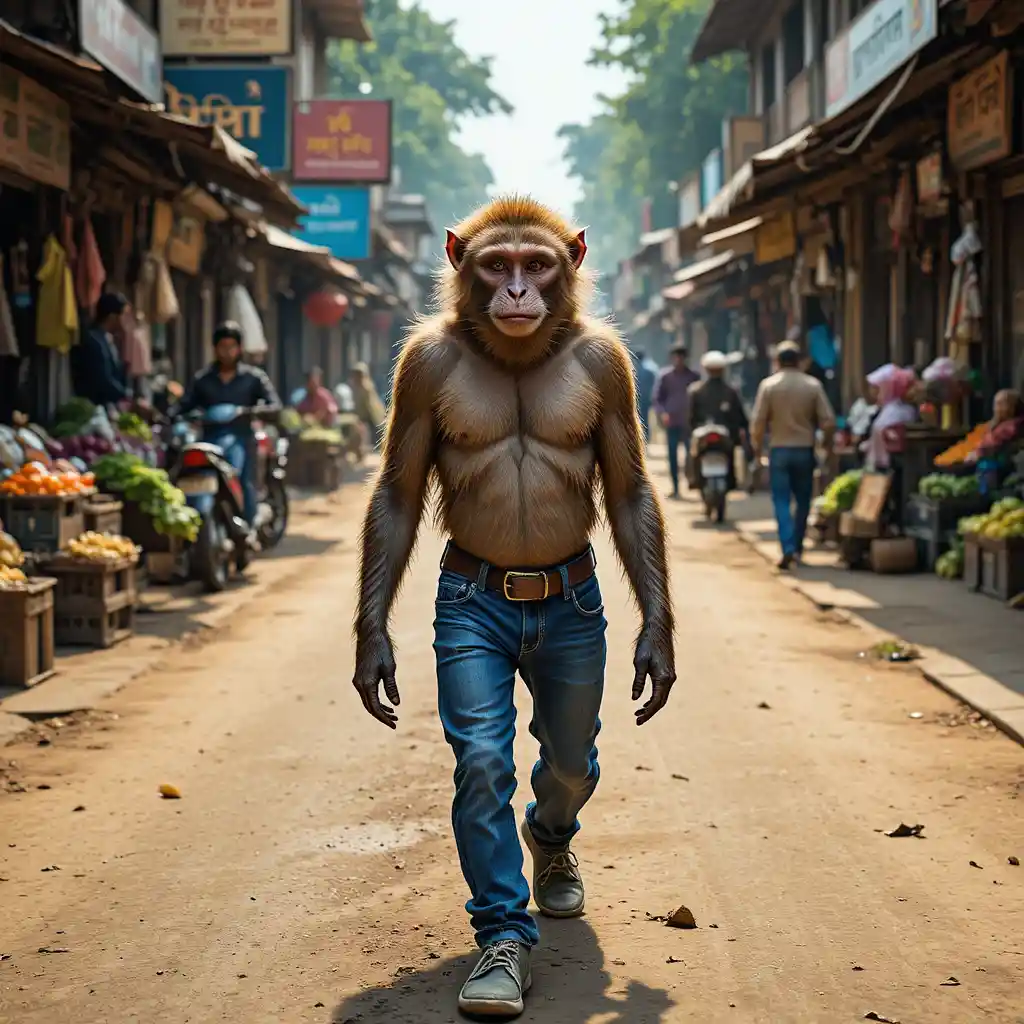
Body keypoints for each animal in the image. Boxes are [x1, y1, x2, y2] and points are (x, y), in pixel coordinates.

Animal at [351, 195, 675, 1017]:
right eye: (497, 264)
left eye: (537, 264)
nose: (519, 292)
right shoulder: (419, 367)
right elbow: (398, 493)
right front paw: (499, 952)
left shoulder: (612, 367)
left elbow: (629, 490)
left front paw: (658, 649)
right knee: (525, 765)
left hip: (573, 656)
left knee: (568, 758)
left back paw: (553, 862)